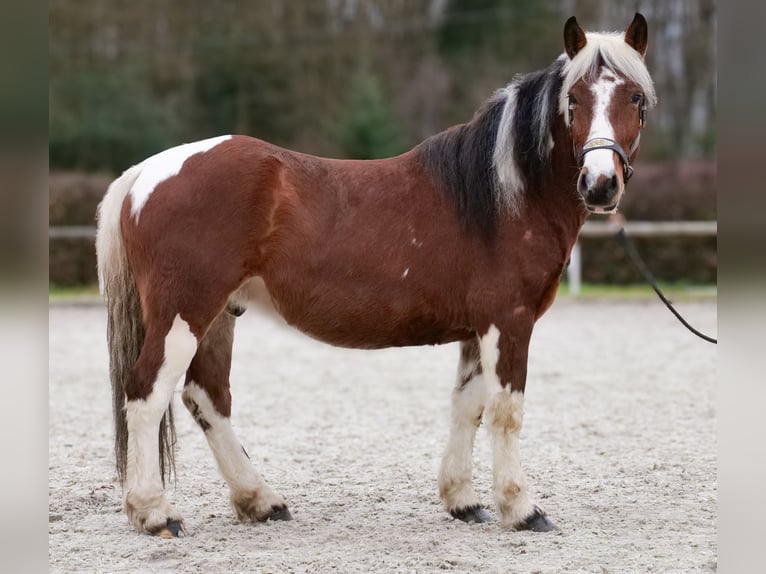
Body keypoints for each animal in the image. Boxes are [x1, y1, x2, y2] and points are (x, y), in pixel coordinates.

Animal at [96, 13, 655, 537]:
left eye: (635, 98)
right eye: (574, 100)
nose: (600, 184)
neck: (503, 196)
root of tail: (146, 174)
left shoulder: (478, 330)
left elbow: (467, 406)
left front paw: (463, 500)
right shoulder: (509, 322)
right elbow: (505, 411)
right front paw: (522, 509)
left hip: (217, 316)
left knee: (206, 398)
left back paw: (260, 501)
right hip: (184, 312)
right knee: (147, 393)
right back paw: (155, 512)